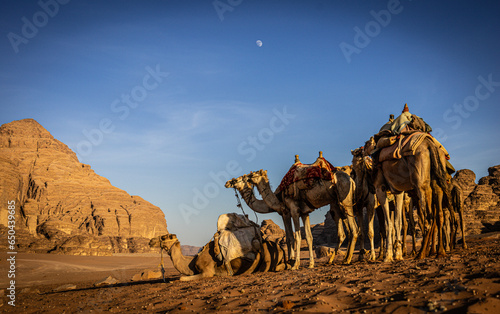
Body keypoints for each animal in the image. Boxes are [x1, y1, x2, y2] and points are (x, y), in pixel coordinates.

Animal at [148, 233, 288, 282]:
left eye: (163, 237)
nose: (150, 241)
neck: (191, 262)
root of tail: (280, 248)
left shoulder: (207, 271)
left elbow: (181, 278)